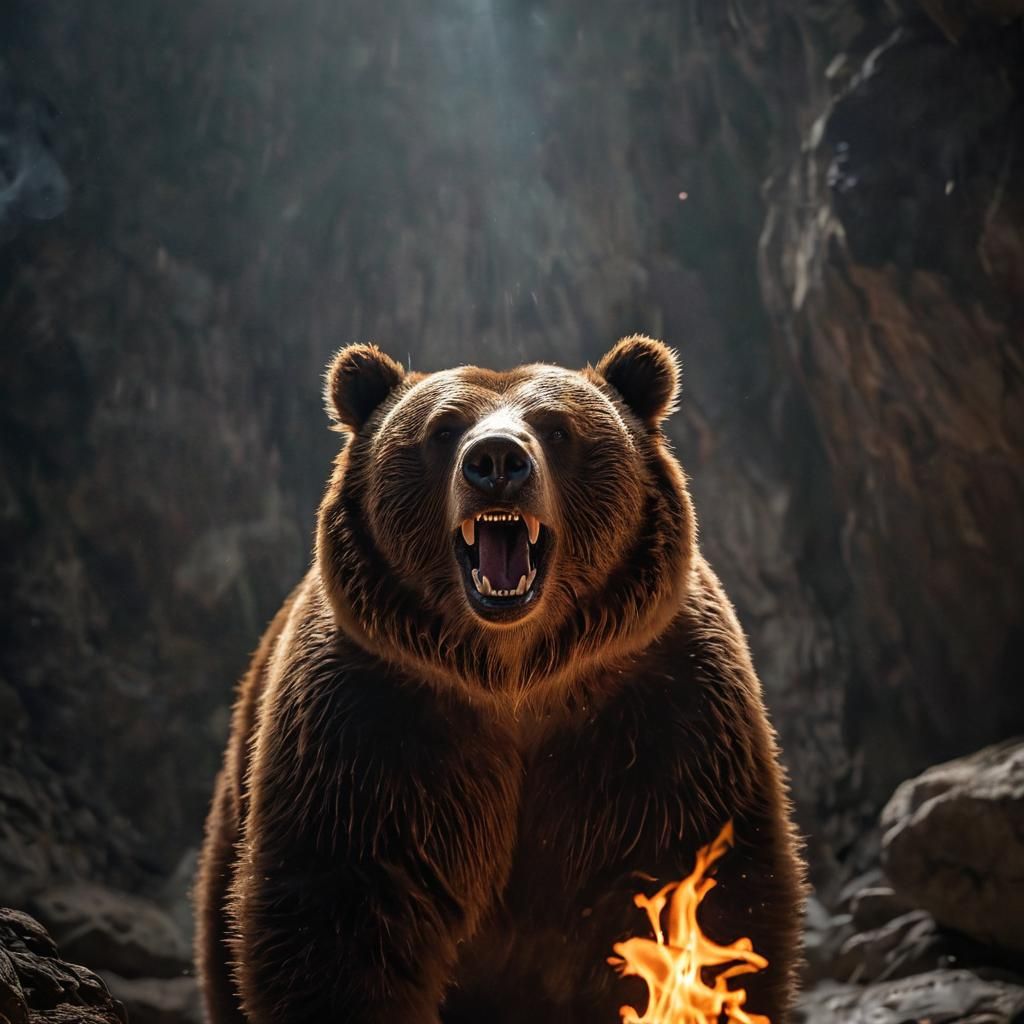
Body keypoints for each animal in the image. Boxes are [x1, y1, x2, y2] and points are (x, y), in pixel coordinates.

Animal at [194, 337, 806, 1024]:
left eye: (558, 428)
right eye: (442, 429)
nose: (496, 461)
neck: (513, 676)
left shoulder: (663, 713)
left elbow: (709, 887)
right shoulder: (369, 722)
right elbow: (335, 910)